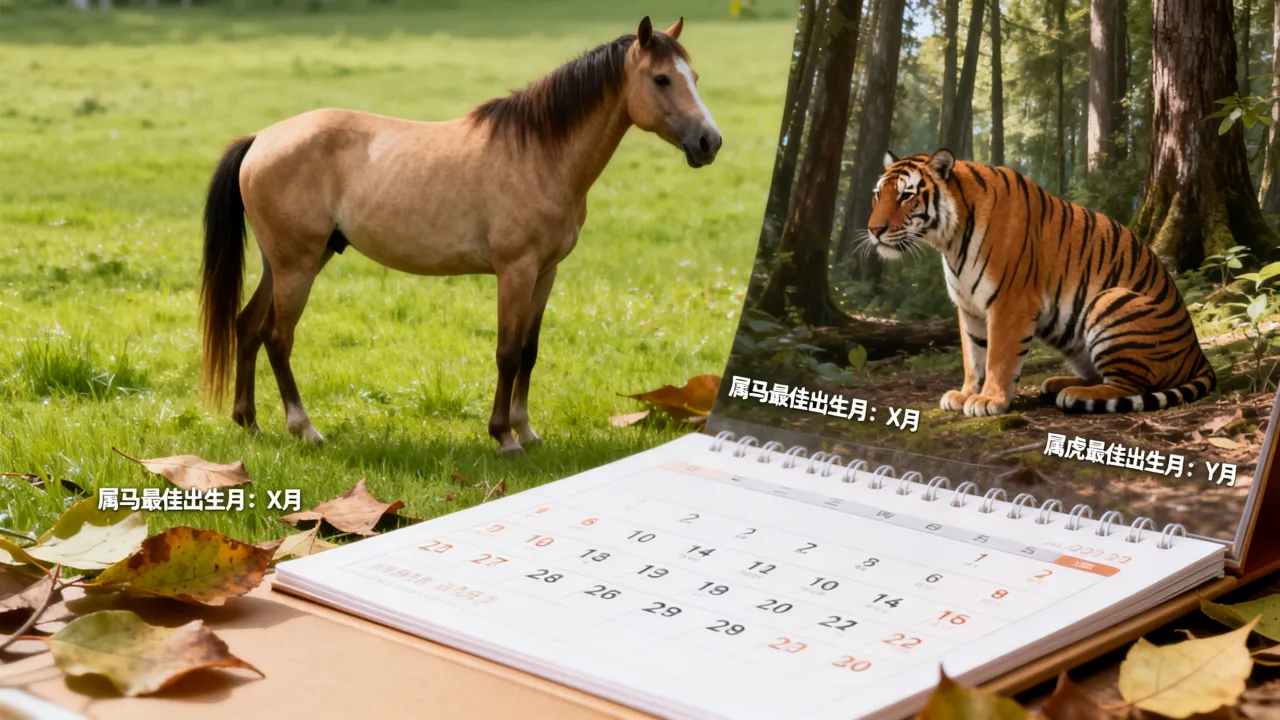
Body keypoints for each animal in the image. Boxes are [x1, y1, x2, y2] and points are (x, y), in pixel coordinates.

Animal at [198, 17, 721, 455]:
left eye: (694, 77)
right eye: (661, 79)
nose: (709, 142)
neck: (539, 153)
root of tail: (261, 139)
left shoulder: (546, 273)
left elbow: (529, 352)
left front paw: (527, 431)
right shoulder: (515, 271)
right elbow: (507, 353)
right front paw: (504, 438)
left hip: (286, 263)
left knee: (247, 327)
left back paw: (249, 421)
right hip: (299, 266)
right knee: (277, 337)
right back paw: (304, 428)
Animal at [862, 148, 1216, 416]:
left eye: (906, 196)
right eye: (878, 195)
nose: (874, 230)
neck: (948, 240)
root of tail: (1199, 355)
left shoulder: (1010, 302)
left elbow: (998, 357)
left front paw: (989, 400)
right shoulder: (969, 308)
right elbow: (973, 356)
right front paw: (964, 394)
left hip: (1112, 300)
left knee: (1128, 386)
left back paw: (1074, 394)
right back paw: (1059, 384)